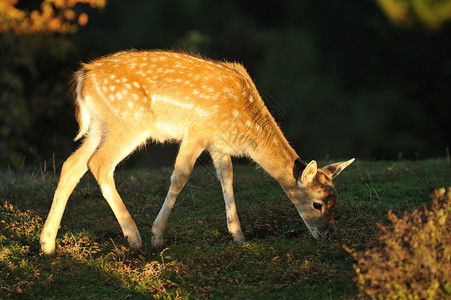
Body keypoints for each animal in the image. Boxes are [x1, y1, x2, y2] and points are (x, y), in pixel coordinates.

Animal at [38, 49, 354, 255]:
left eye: (335, 201)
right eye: (317, 204)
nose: (328, 234)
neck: (245, 126)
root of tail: (83, 77)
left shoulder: (218, 143)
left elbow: (227, 178)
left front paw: (238, 235)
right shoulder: (198, 130)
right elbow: (180, 176)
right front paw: (157, 236)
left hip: (100, 127)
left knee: (71, 165)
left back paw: (47, 244)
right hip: (130, 120)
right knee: (100, 164)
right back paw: (134, 237)